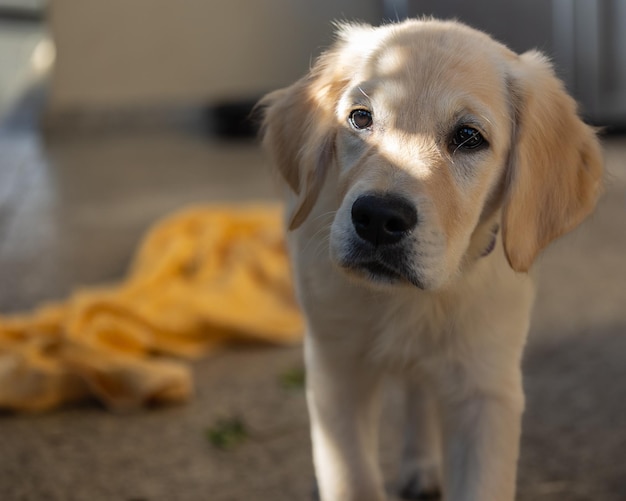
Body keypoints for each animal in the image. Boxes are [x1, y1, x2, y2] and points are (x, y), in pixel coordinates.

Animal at [258, 17, 600, 498]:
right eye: (360, 118)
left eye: (469, 137)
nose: (377, 218)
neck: (411, 299)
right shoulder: (336, 370)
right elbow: (350, 477)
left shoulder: (486, 389)